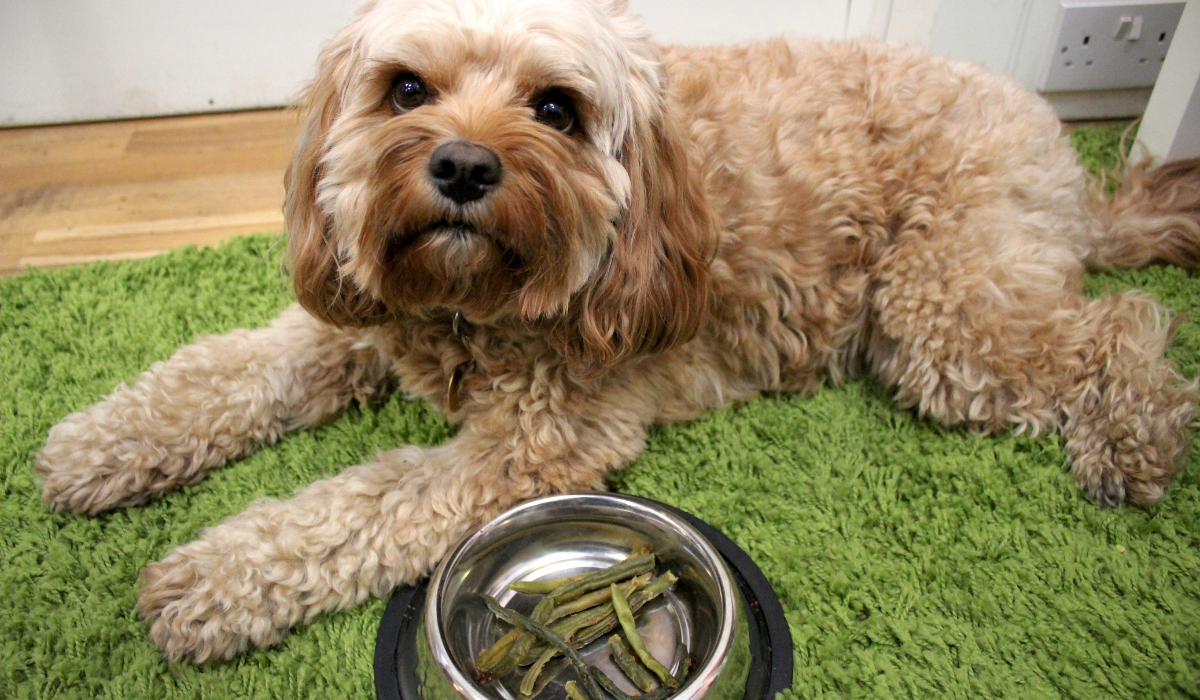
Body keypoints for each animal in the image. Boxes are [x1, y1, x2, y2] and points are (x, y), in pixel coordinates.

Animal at [30, 0, 1200, 662]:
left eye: (556, 108)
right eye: (405, 89)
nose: (462, 166)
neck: (470, 312)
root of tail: (1062, 150)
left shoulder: (534, 447)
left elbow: (350, 508)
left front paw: (208, 580)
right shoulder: (359, 318)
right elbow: (225, 369)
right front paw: (100, 445)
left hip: (945, 316)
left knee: (1125, 318)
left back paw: (1133, 436)